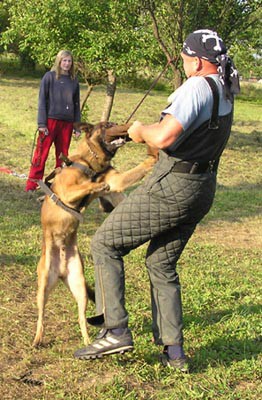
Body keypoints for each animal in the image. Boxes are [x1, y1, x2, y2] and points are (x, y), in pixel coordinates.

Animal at [33, 122, 159, 346]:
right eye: (108, 125)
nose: (129, 126)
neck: (89, 163)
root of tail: (61, 270)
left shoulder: (116, 181)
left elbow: (133, 172)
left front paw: (153, 157)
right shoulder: (68, 192)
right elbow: (86, 186)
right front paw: (95, 184)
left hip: (80, 288)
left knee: (82, 318)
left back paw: (87, 342)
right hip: (43, 286)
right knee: (41, 316)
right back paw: (38, 338)